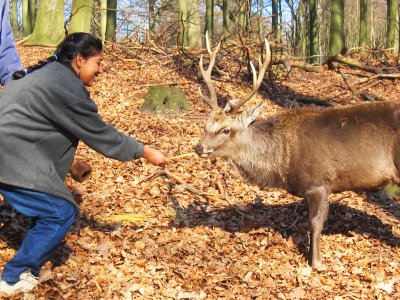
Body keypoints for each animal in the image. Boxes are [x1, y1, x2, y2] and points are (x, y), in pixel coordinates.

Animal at [194, 32, 400, 270]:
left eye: (226, 129)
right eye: (206, 125)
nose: (199, 147)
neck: (283, 163)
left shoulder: (319, 182)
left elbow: (315, 223)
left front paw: (316, 262)